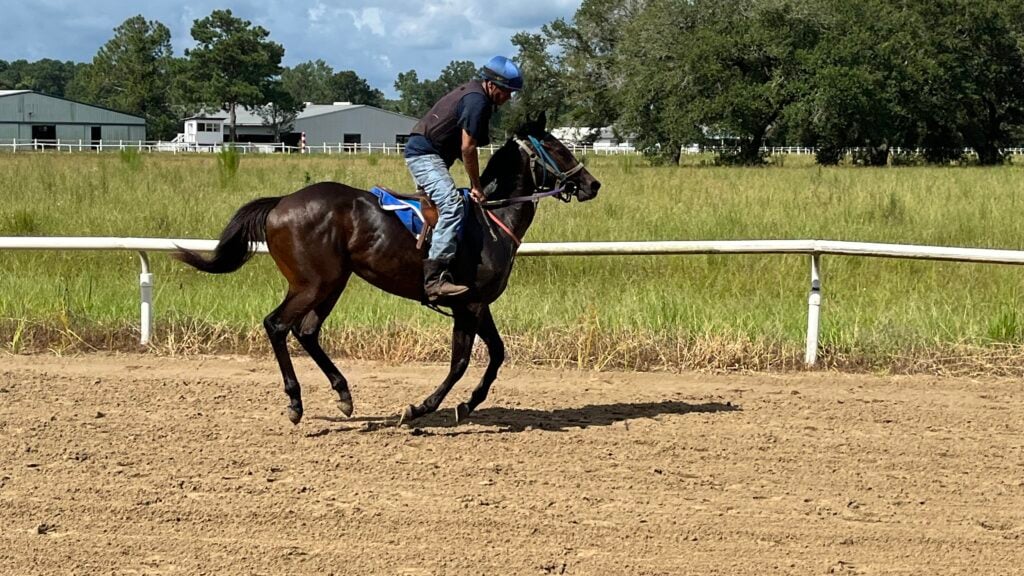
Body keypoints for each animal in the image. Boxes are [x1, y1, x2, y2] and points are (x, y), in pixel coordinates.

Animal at [175, 113, 598, 426]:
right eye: (557, 147)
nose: (592, 184)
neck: (492, 218)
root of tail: (281, 203)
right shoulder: (469, 305)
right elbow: (461, 362)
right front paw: (421, 407)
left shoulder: (478, 303)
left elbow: (496, 355)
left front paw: (467, 404)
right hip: (312, 283)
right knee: (277, 325)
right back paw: (296, 403)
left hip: (333, 282)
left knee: (307, 331)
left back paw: (343, 393)